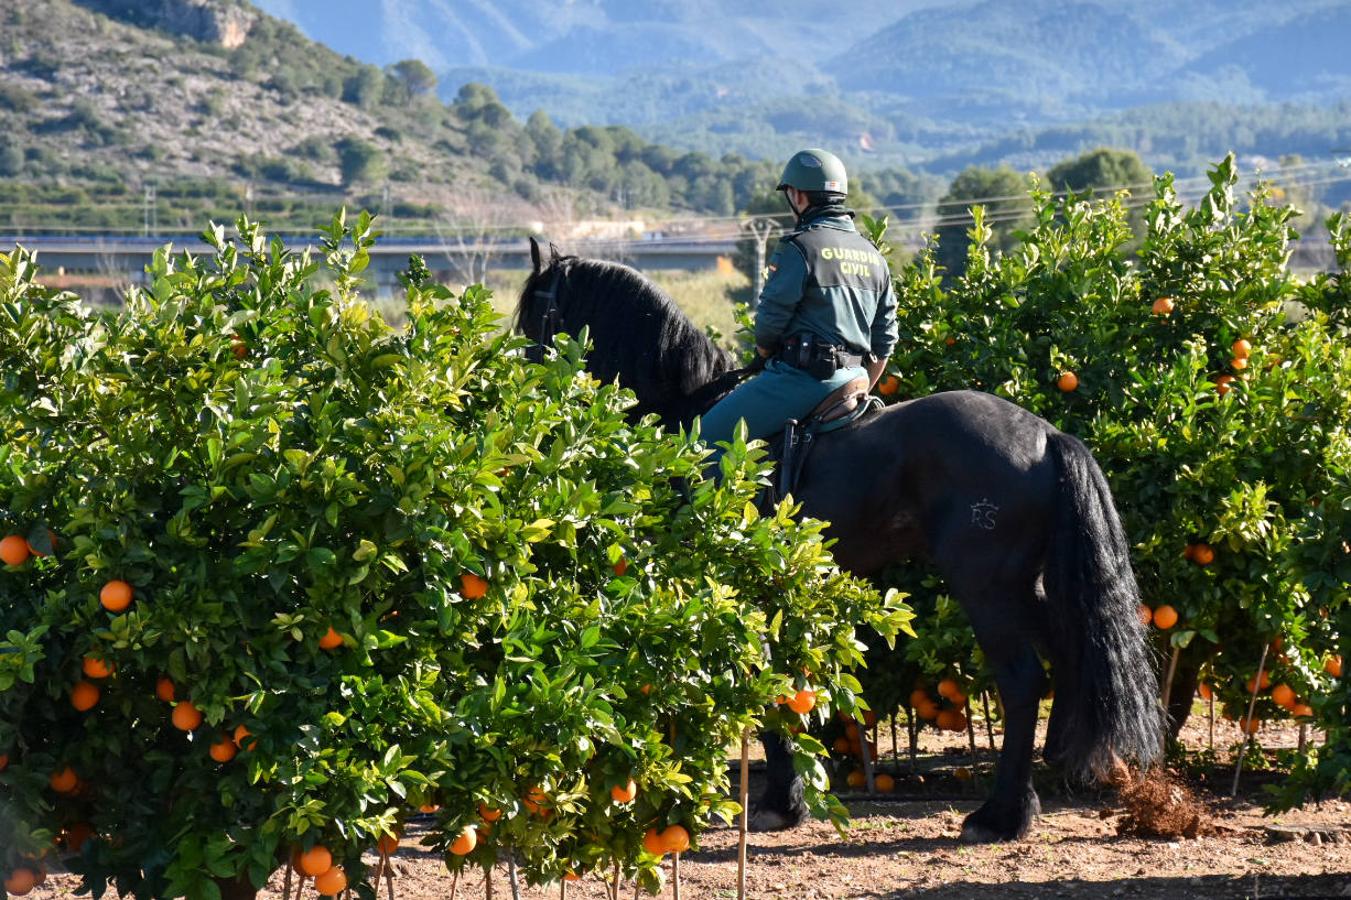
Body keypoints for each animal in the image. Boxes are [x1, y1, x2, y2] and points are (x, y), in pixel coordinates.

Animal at [513, 237, 1161, 843]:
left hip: (989, 590)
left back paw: (1001, 815)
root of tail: (1047, 435)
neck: (685, 406)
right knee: (1069, 655)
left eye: (534, 312)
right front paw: (785, 797)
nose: (527, 391)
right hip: (1028, 587)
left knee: (1023, 680)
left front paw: (774, 802)